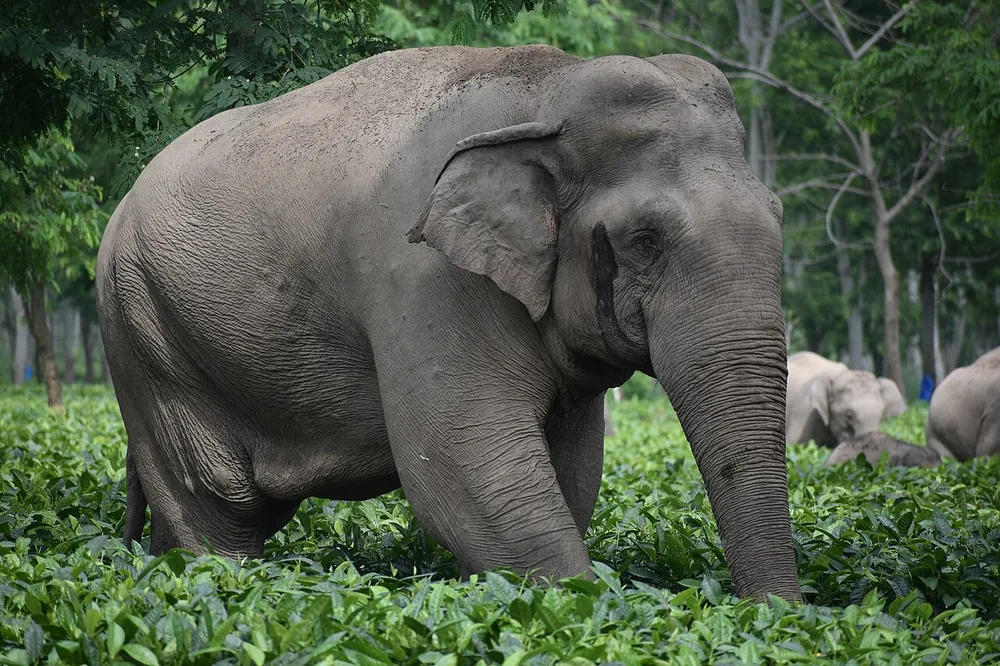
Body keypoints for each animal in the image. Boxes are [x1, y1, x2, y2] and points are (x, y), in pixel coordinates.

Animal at [95, 45, 799, 602]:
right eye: (645, 240)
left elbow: (570, 470)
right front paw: (580, 608)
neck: (549, 88)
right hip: (142, 326)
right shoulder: (427, 282)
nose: (770, 614)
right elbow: (471, 468)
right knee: (219, 502)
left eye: (779, 213)